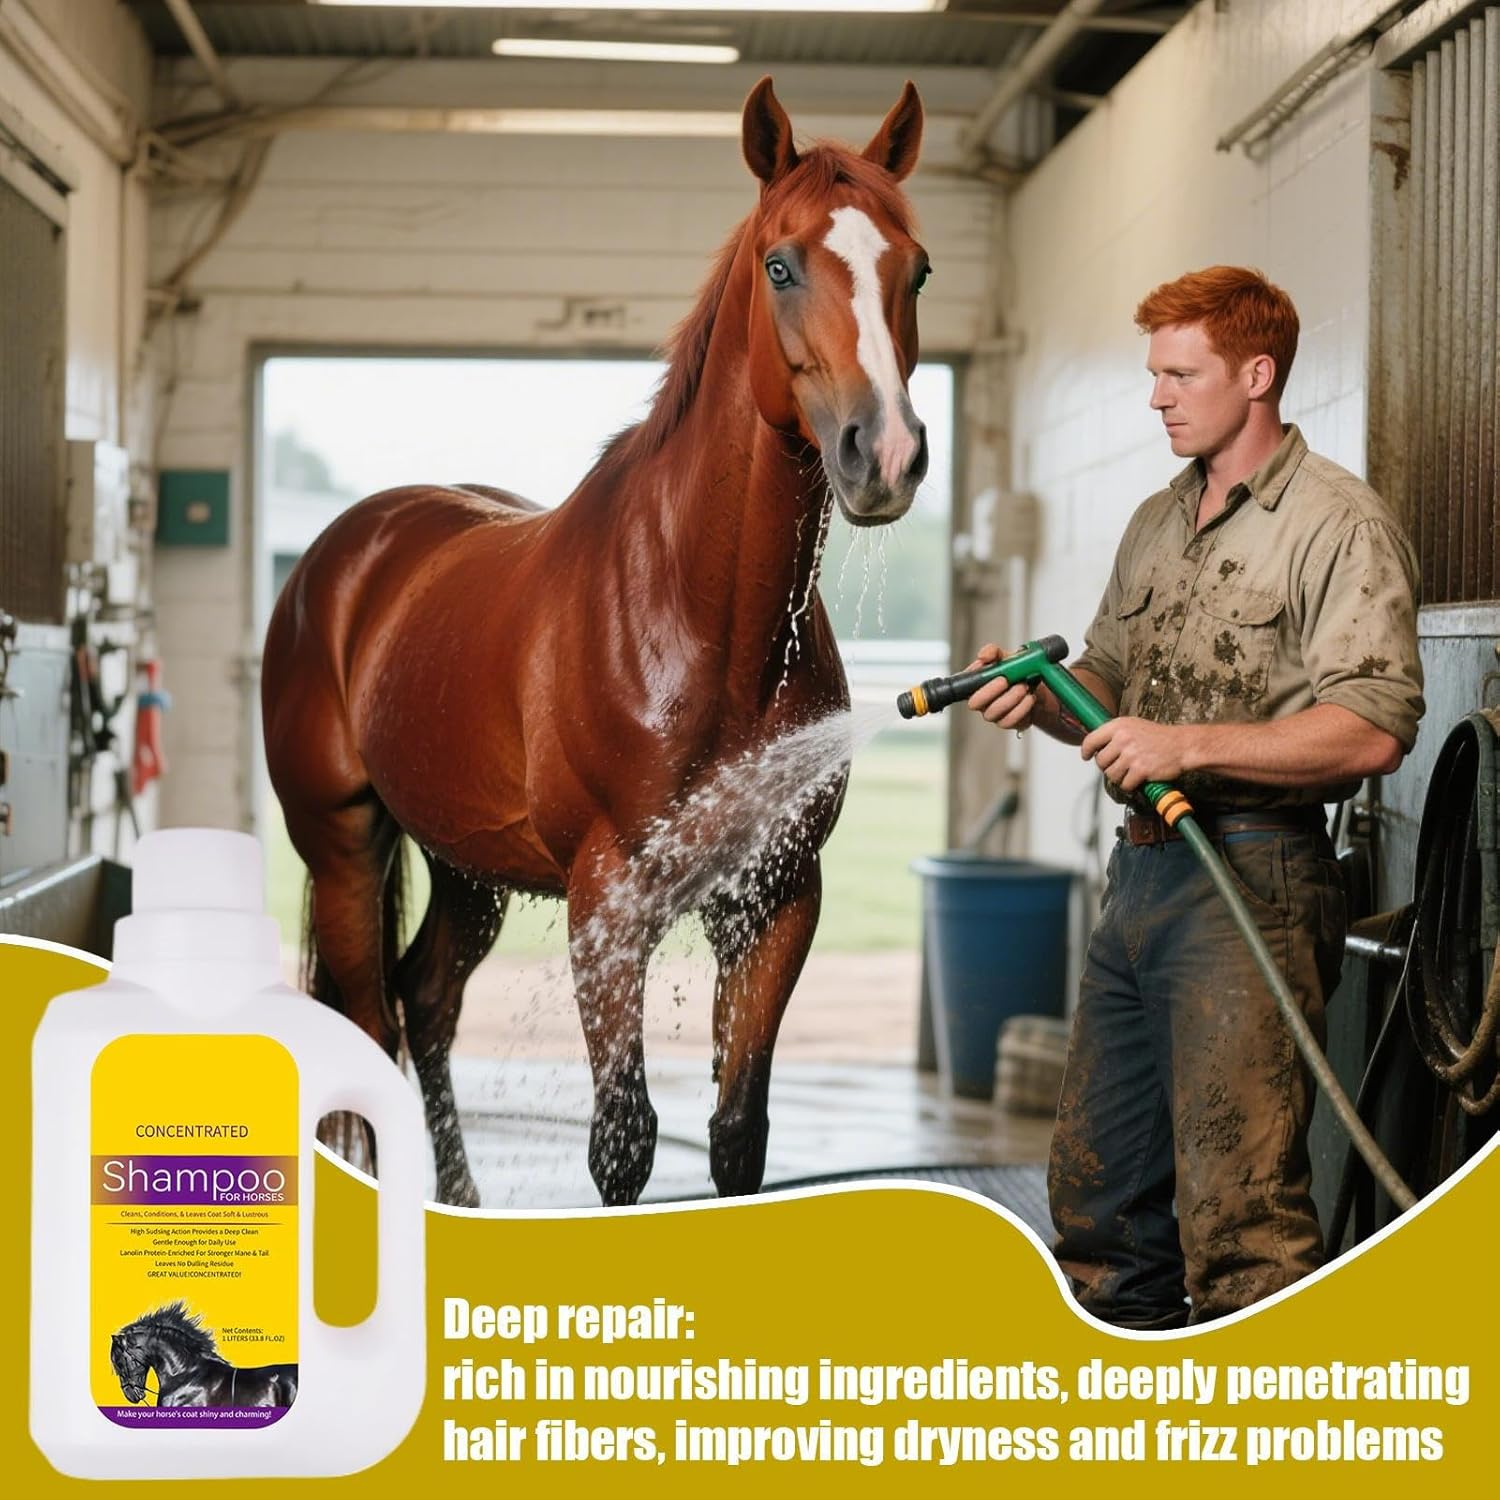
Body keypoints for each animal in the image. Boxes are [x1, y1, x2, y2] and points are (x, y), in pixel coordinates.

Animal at [261, 78, 930, 1208]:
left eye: (916, 268)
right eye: (780, 264)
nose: (882, 454)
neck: (709, 627)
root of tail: (342, 557)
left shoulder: (776, 903)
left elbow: (736, 1133)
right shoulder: (607, 904)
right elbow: (623, 1142)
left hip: (465, 866)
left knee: (425, 1002)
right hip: (343, 841)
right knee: (369, 1017)